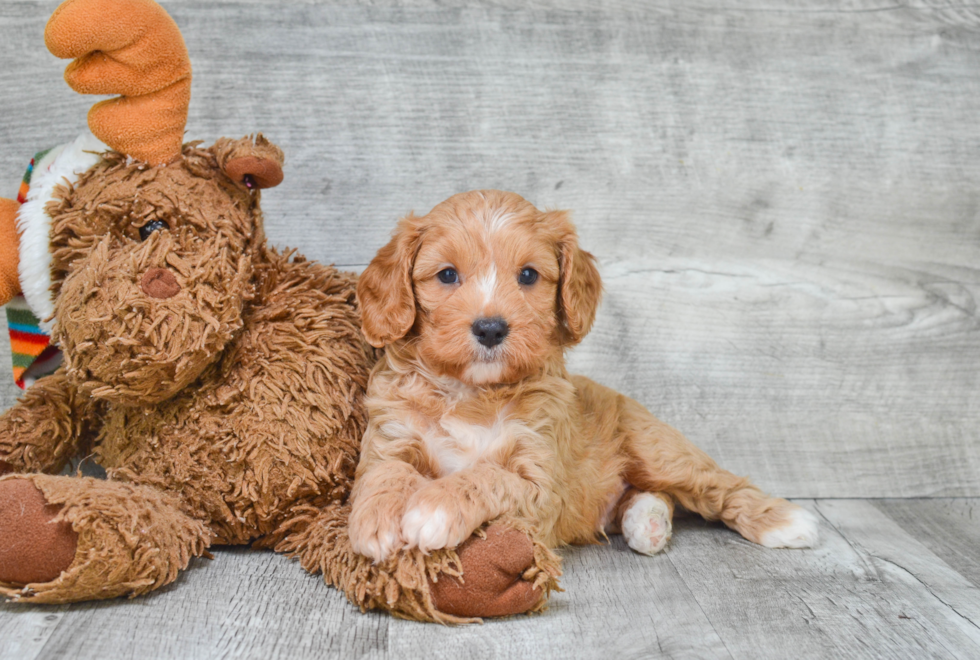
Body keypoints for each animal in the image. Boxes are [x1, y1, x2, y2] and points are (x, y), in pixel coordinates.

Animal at [348, 189, 816, 564]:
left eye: (528, 275)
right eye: (447, 274)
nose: (490, 328)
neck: (472, 392)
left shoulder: (541, 483)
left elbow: (488, 476)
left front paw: (435, 506)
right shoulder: (391, 436)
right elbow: (384, 473)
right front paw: (377, 519)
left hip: (658, 450)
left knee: (718, 485)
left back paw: (785, 520)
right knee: (651, 494)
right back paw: (647, 523)